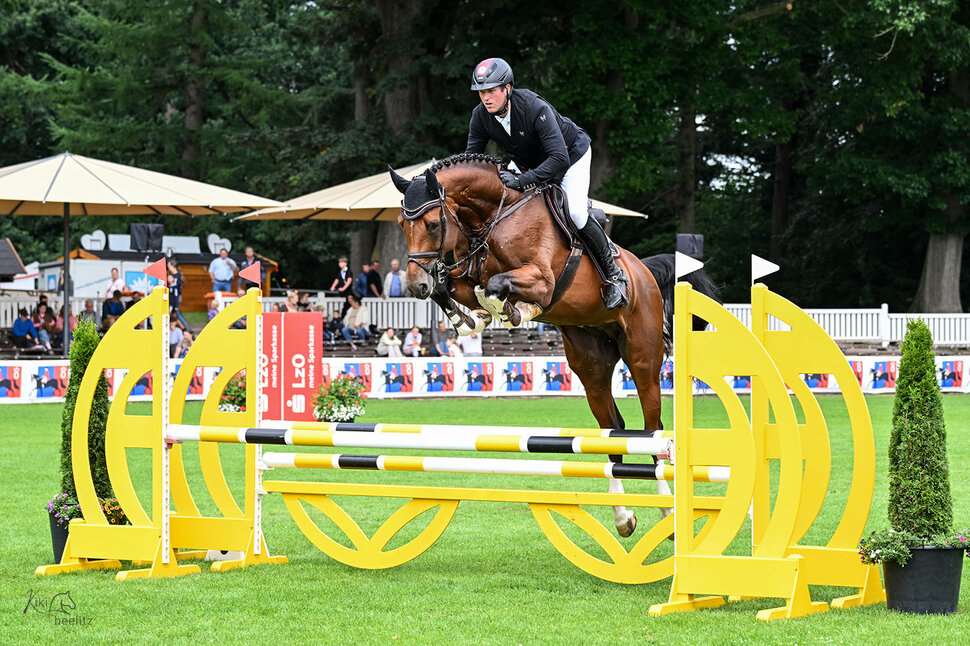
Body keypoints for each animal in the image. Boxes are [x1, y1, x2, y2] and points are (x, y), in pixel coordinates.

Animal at [389, 153, 717, 537]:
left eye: (431, 224)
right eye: (401, 224)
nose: (415, 285)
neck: (495, 216)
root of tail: (645, 272)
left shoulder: (542, 280)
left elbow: (496, 286)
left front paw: (513, 311)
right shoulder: (466, 274)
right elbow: (456, 288)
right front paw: (472, 320)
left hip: (643, 358)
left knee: (653, 431)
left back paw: (667, 513)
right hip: (591, 365)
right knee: (614, 430)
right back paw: (623, 518)